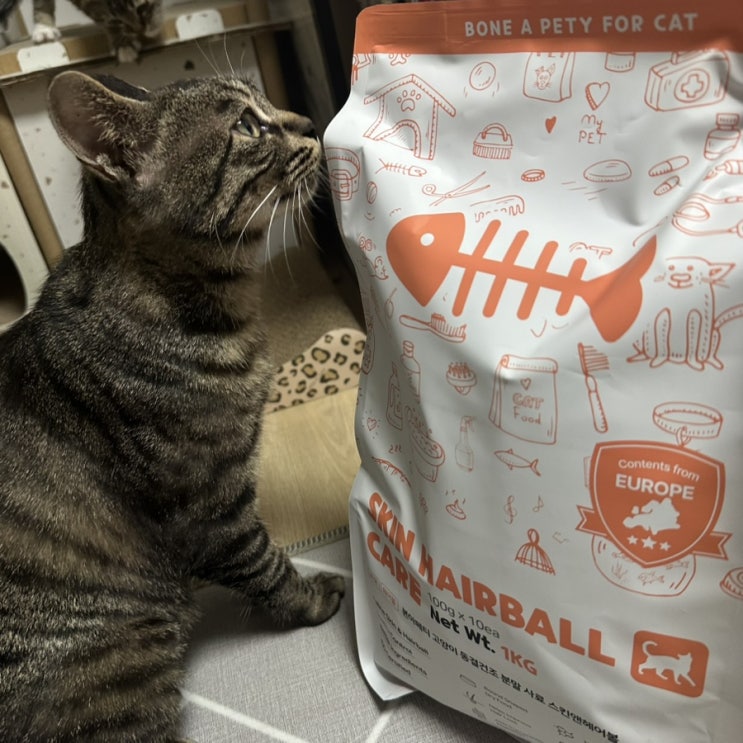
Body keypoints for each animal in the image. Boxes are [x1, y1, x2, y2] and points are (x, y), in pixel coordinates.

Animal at [0, 70, 345, 741]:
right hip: (123, 673)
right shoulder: (212, 509)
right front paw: (315, 601)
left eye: (267, 101)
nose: (312, 122)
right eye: (247, 125)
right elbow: (269, 566)